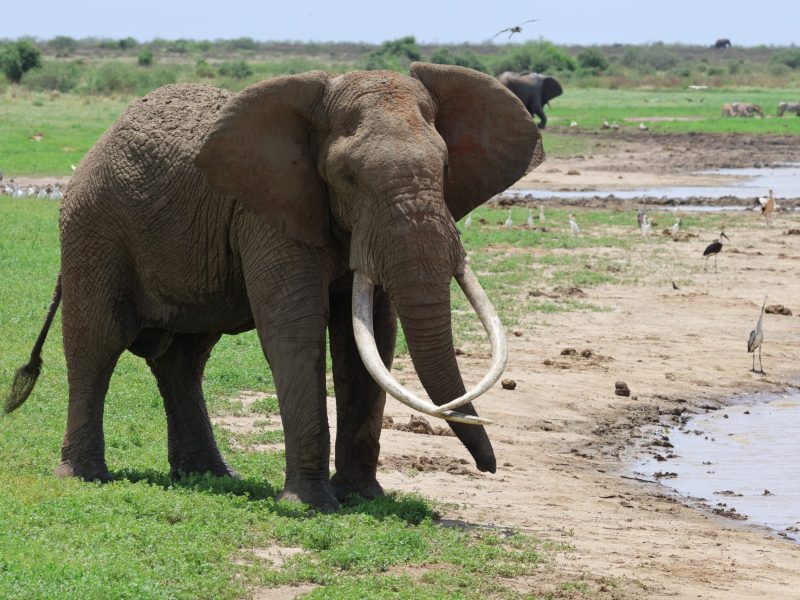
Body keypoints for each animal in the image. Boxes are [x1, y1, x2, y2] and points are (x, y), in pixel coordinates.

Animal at [5, 63, 542, 512]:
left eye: (446, 169)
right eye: (348, 177)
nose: (489, 467)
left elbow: (370, 337)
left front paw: (363, 499)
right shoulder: (267, 211)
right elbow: (294, 330)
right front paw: (311, 506)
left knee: (184, 359)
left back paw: (210, 477)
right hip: (94, 229)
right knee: (98, 342)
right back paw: (85, 477)